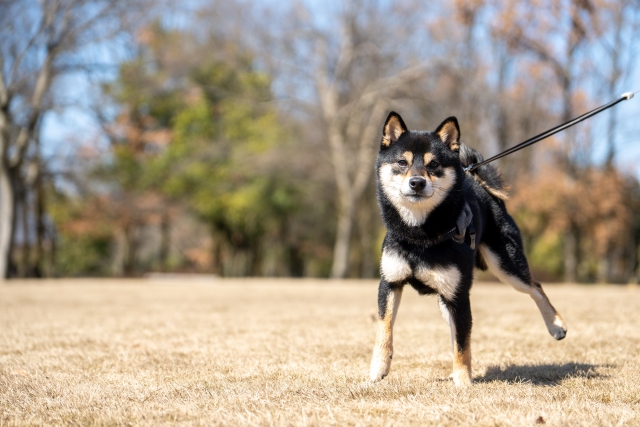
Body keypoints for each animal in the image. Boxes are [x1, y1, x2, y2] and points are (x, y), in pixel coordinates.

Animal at [368, 113, 568, 388]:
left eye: (434, 164)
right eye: (401, 162)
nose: (417, 182)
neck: (421, 236)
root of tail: (480, 184)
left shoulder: (459, 295)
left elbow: (462, 345)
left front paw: (463, 382)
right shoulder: (390, 283)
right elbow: (384, 329)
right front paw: (378, 369)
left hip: (505, 265)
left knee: (535, 287)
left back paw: (556, 325)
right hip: (447, 297)